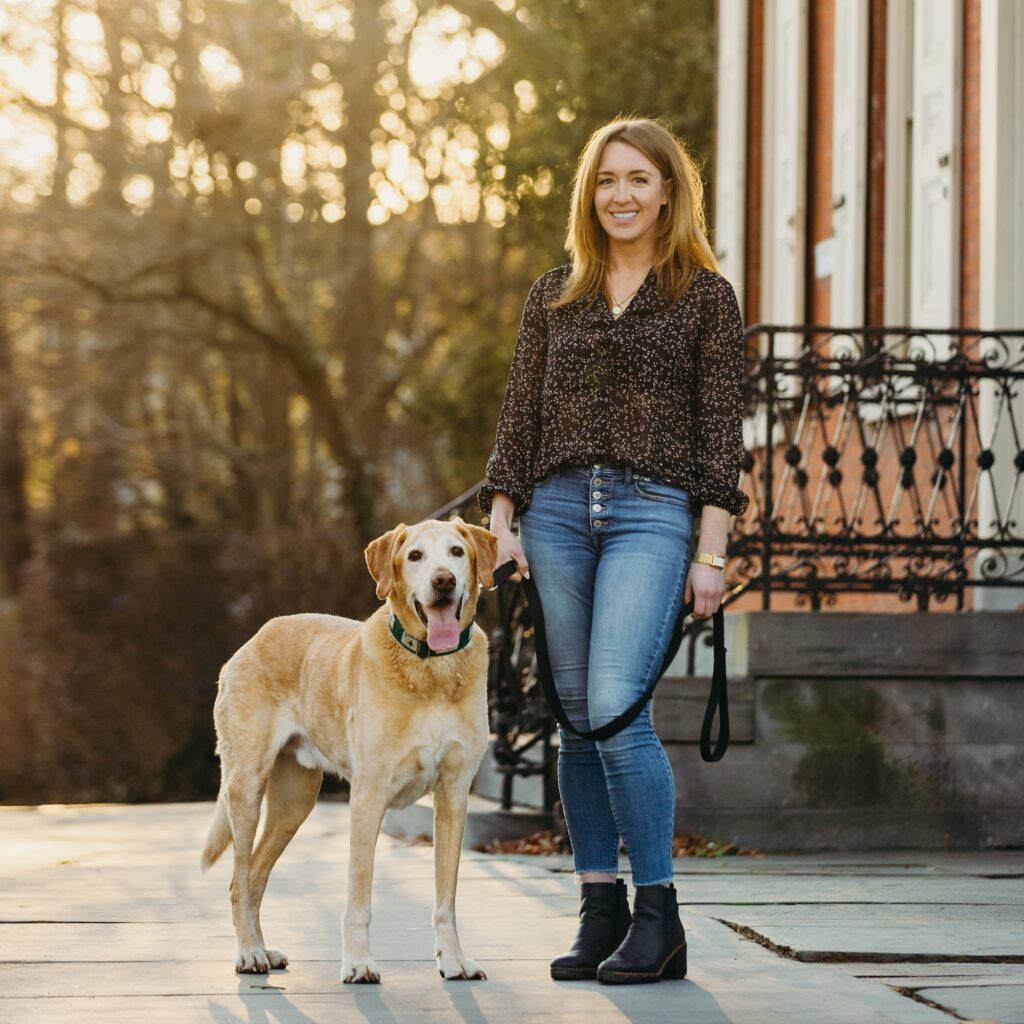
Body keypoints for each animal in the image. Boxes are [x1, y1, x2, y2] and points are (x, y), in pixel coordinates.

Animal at [198, 520, 495, 983]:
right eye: (415, 556)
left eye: (457, 552)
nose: (444, 581)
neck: (431, 670)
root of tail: (256, 636)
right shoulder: (368, 797)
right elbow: (359, 893)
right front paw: (357, 962)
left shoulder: (454, 797)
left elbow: (446, 898)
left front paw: (453, 959)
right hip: (245, 789)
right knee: (238, 879)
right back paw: (248, 953)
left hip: (295, 802)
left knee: (257, 876)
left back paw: (264, 950)